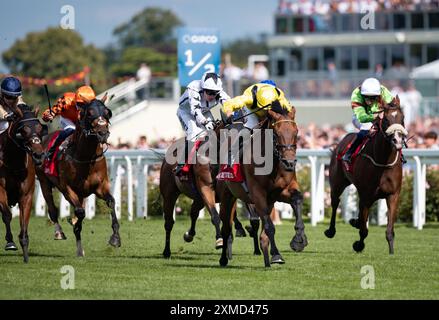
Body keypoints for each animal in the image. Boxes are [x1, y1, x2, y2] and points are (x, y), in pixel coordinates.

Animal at [0, 105, 47, 262]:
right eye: (23, 130)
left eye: (40, 128)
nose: (39, 155)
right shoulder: (0, 190)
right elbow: (7, 215)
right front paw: (10, 242)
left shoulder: (26, 195)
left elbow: (24, 221)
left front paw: (24, 245)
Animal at [35, 99, 120, 256]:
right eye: (89, 113)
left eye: (107, 112)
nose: (103, 133)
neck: (86, 158)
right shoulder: (67, 189)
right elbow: (80, 212)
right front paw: (73, 223)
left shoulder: (100, 188)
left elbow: (111, 202)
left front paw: (115, 238)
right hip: (44, 182)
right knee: (52, 210)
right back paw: (59, 233)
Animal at [218, 104, 308, 268]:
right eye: (276, 134)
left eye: (296, 132)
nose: (289, 163)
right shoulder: (258, 195)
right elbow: (269, 226)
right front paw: (277, 255)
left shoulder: (281, 192)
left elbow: (297, 199)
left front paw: (299, 240)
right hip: (227, 195)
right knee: (226, 227)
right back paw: (223, 259)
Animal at [324, 96, 408, 254]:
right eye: (386, 119)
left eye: (403, 118)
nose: (398, 141)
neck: (383, 162)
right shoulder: (366, 194)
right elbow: (364, 230)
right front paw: (358, 245)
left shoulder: (393, 195)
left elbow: (389, 230)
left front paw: (391, 251)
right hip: (337, 183)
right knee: (335, 202)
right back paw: (331, 230)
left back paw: (354, 221)